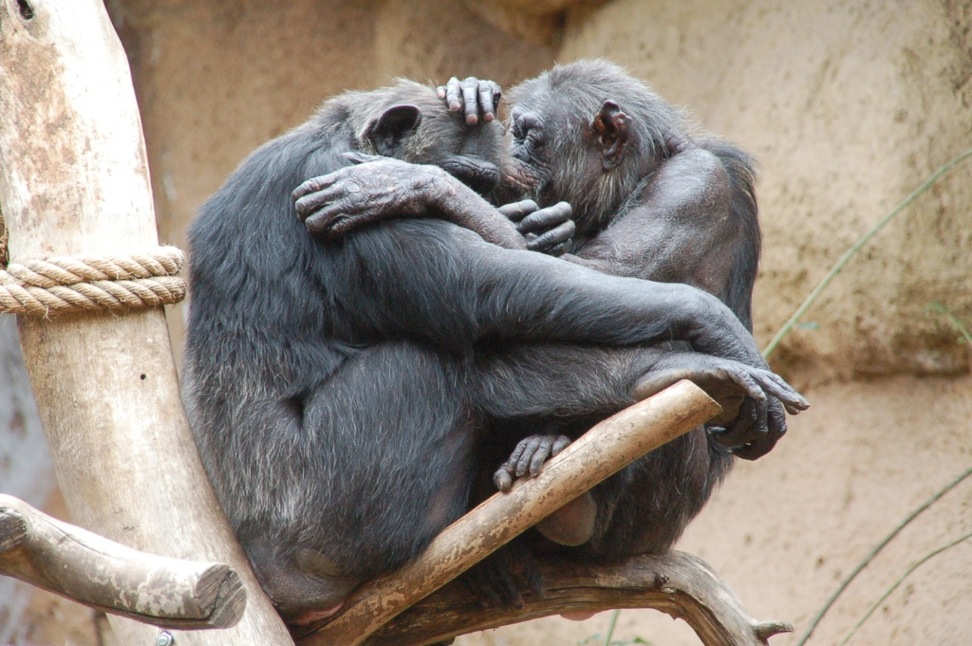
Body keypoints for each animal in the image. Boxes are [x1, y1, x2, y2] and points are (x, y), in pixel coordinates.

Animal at [184, 77, 807, 623]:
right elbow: (487, 286)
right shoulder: (326, 179)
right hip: (325, 526)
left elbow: (588, 272)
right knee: (431, 361)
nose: (516, 173)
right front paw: (702, 342)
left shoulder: (694, 187)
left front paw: (410, 179)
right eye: (472, 172)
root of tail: (275, 582)